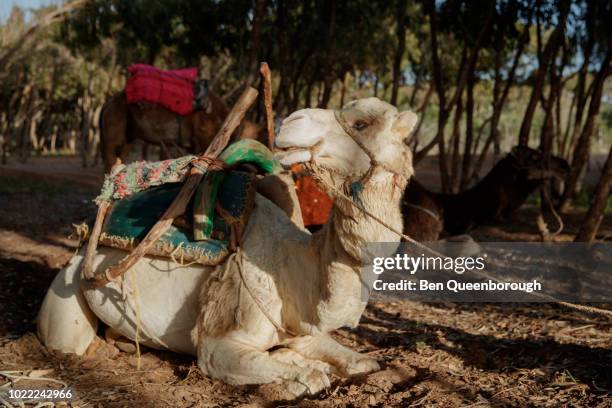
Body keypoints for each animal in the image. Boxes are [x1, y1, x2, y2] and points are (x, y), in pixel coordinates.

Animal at [37, 98, 416, 396]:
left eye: (361, 123)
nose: (291, 121)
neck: (292, 268)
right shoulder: (218, 344)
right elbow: (305, 375)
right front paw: (302, 371)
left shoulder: (300, 327)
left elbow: (360, 363)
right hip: (69, 288)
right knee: (67, 339)